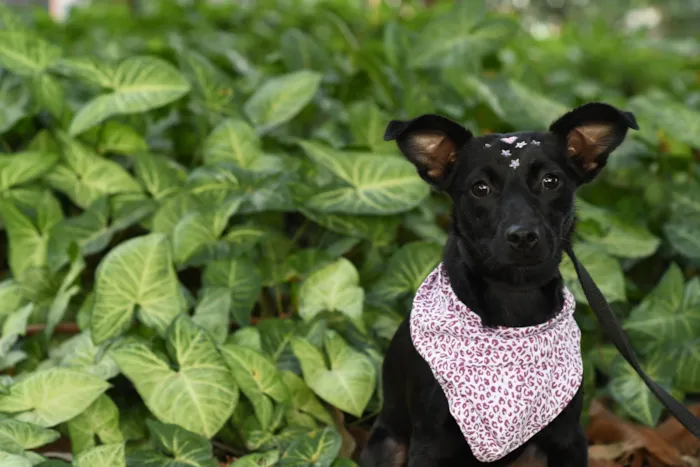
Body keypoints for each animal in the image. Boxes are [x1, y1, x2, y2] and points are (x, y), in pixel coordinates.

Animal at [360, 103, 640, 467]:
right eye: (480, 188)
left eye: (551, 181)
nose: (522, 236)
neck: (514, 298)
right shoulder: (430, 443)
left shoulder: (569, 438)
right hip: (388, 444)